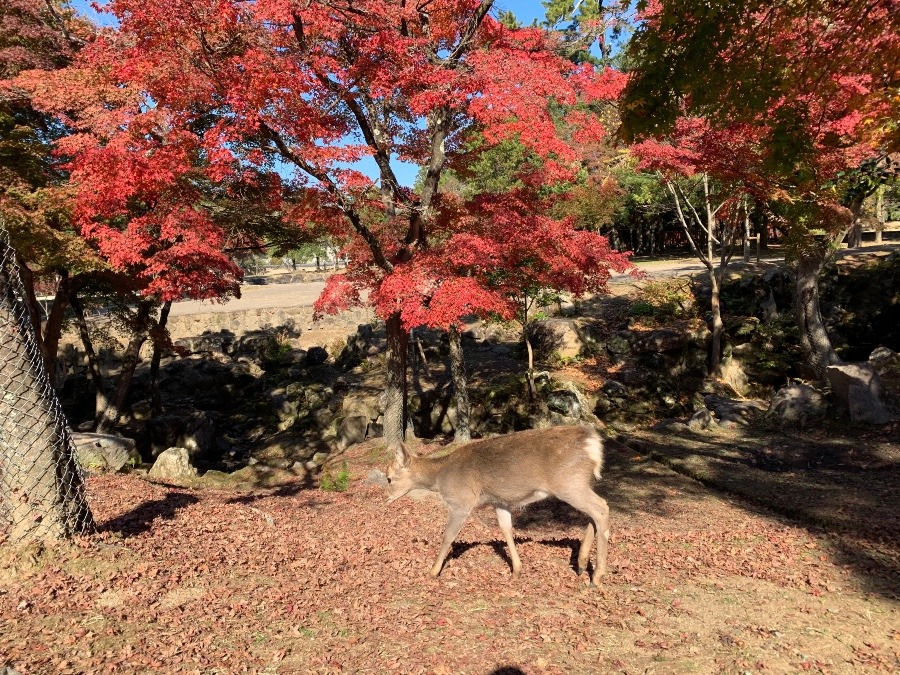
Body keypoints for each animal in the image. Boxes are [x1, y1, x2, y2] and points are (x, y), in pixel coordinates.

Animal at [386, 428, 612, 588]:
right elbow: (506, 529)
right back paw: (581, 564)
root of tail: (593, 443)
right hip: (579, 484)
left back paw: (596, 576)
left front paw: (432, 571)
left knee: (602, 508)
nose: (386, 498)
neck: (439, 476)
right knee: (593, 514)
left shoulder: (461, 501)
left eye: (389, 478)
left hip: (568, 483)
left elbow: (448, 535)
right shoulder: (500, 502)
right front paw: (517, 570)